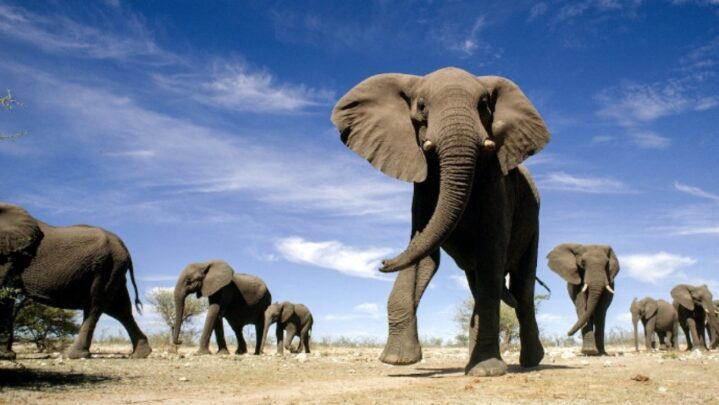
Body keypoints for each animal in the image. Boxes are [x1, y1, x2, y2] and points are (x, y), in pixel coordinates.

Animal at [0, 203, 151, 360]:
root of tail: (123, 246)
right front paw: (7, 356)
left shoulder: (11, 256)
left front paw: (4, 356)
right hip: (114, 269)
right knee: (120, 310)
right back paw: (140, 354)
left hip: (105, 267)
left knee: (94, 306)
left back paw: (74, 355)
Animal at [331, 67, 551, 376]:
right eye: (422, 106)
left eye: (484, 106)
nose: (382, 262)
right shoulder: (423, 187)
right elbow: (422, 253)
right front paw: (398, 360)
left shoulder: (497, 186)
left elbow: (491, 256)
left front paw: (486, 371)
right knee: (480, 284)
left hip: (534, 219)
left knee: (522, 286)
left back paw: (531, 362)